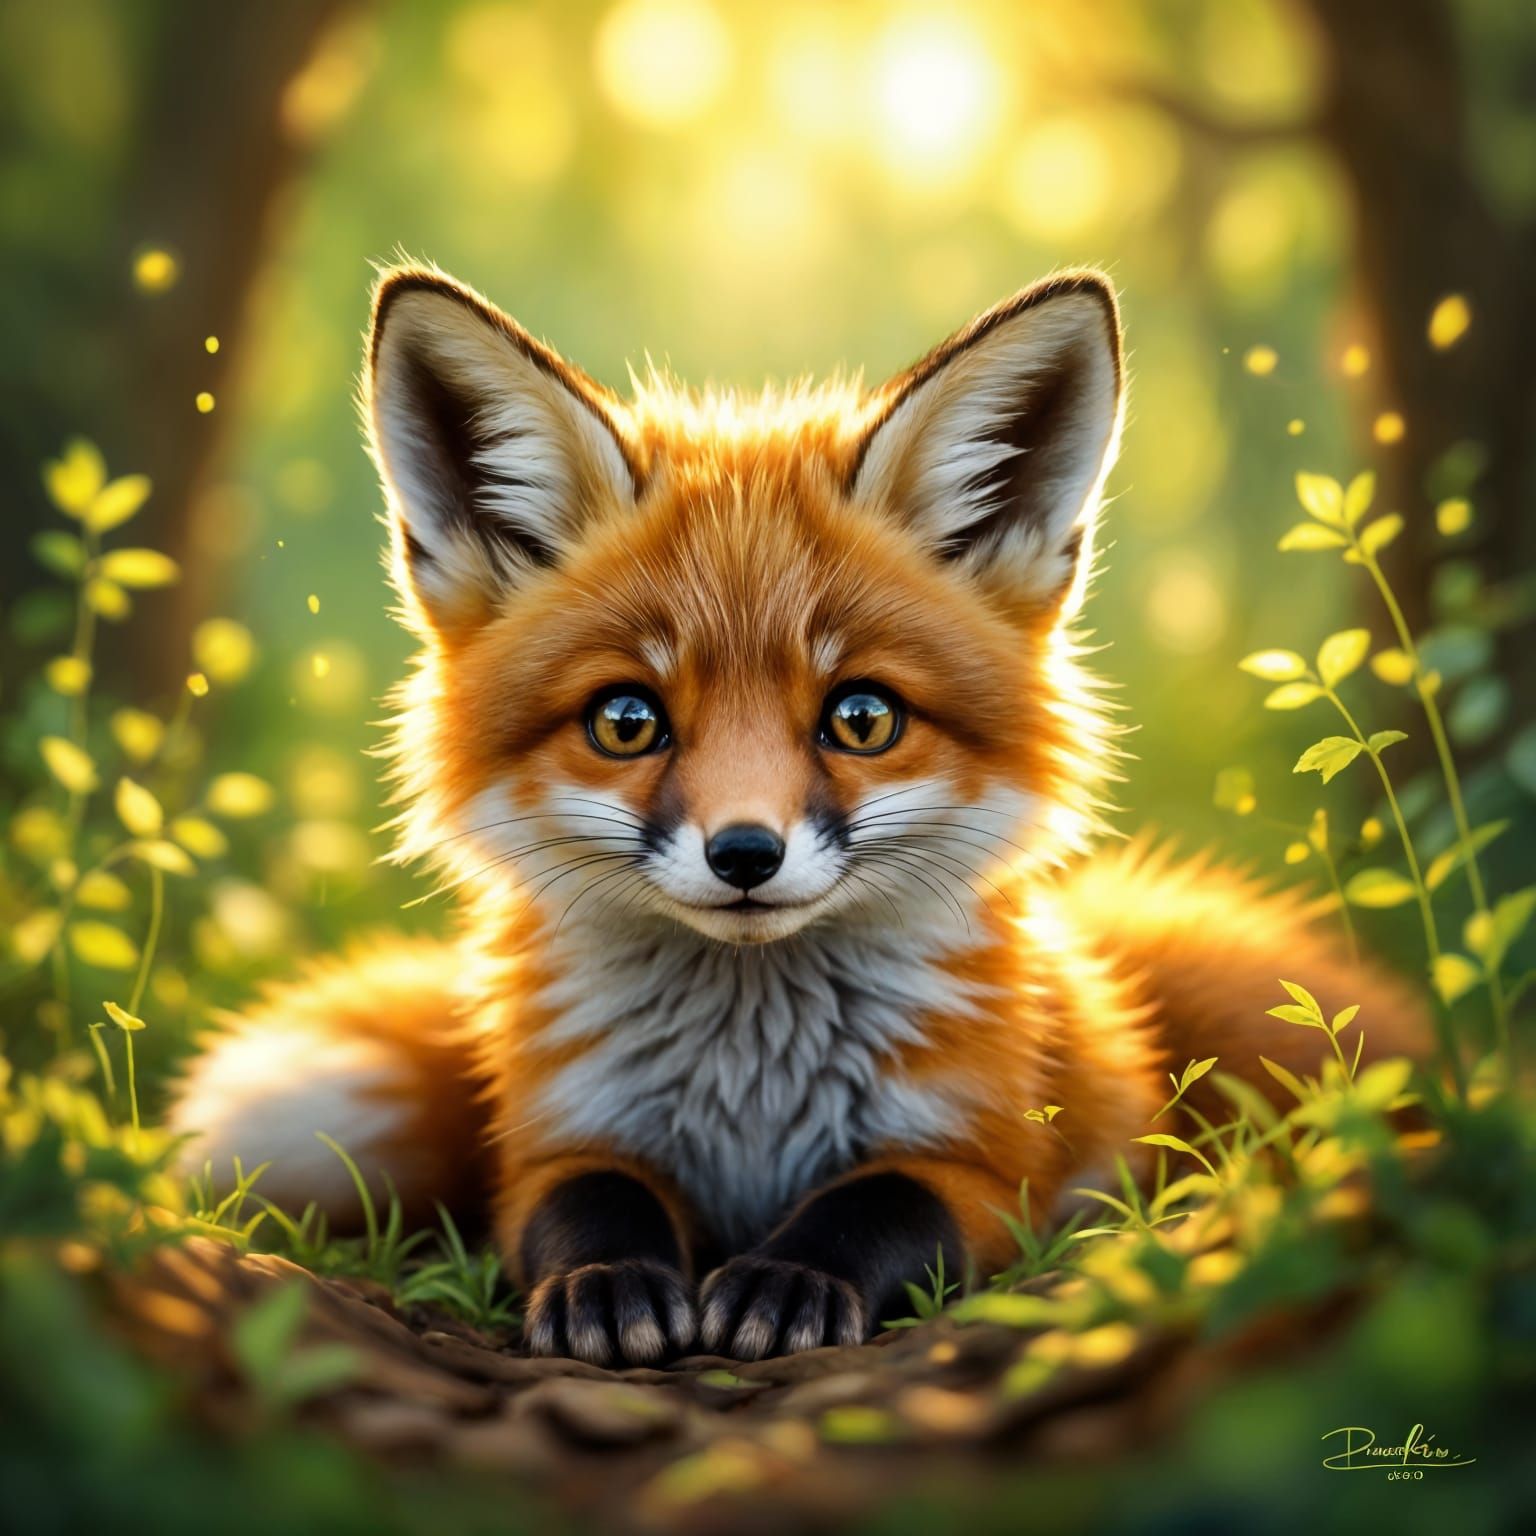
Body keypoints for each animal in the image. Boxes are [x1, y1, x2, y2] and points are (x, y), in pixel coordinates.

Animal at [170, 263, 1428, 1367]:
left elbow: (883, 1202)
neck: (753, 1099)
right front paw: (610, 1281)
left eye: (861, 717)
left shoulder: (995, 1161)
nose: (744, 853)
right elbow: (585, 1200)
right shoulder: (551, 1138)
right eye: (626, 720)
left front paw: (787, 1279)